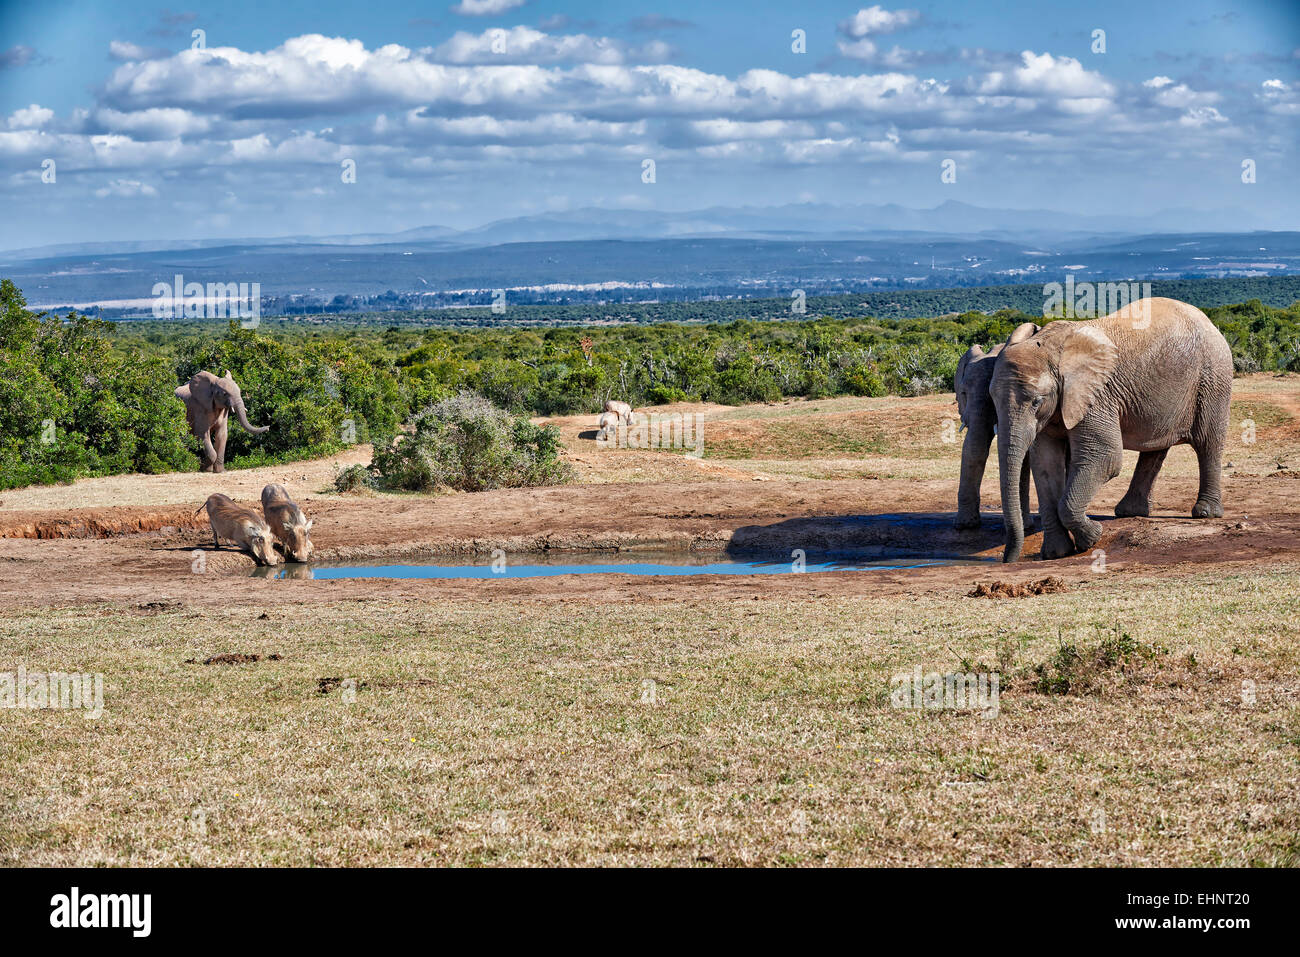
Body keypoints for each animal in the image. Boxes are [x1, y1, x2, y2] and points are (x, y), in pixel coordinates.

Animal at [987, 297, 1232, 561]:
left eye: (1036, 401)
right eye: (992, 399)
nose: (1007, 560)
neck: (1052, 349)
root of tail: (1208, 320)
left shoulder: (1097, 395)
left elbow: (1105, 457)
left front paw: (1091, 538)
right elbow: (1045, 466)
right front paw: (1057, 553)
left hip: (1214, 377)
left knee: (1208, 443)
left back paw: (1206, 513)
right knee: (1155, 447)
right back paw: (1129, 512)